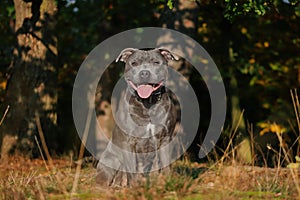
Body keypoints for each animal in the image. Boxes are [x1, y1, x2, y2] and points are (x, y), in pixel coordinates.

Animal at [96, 47, 178, 187]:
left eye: (156, 62)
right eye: (134, 63)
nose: (144, 73)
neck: (147, 103)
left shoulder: (165, 138)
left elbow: (166, 165)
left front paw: (168, 183)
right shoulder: (128, 141)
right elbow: (132, 168)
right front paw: (134, 187)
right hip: (111, 161)